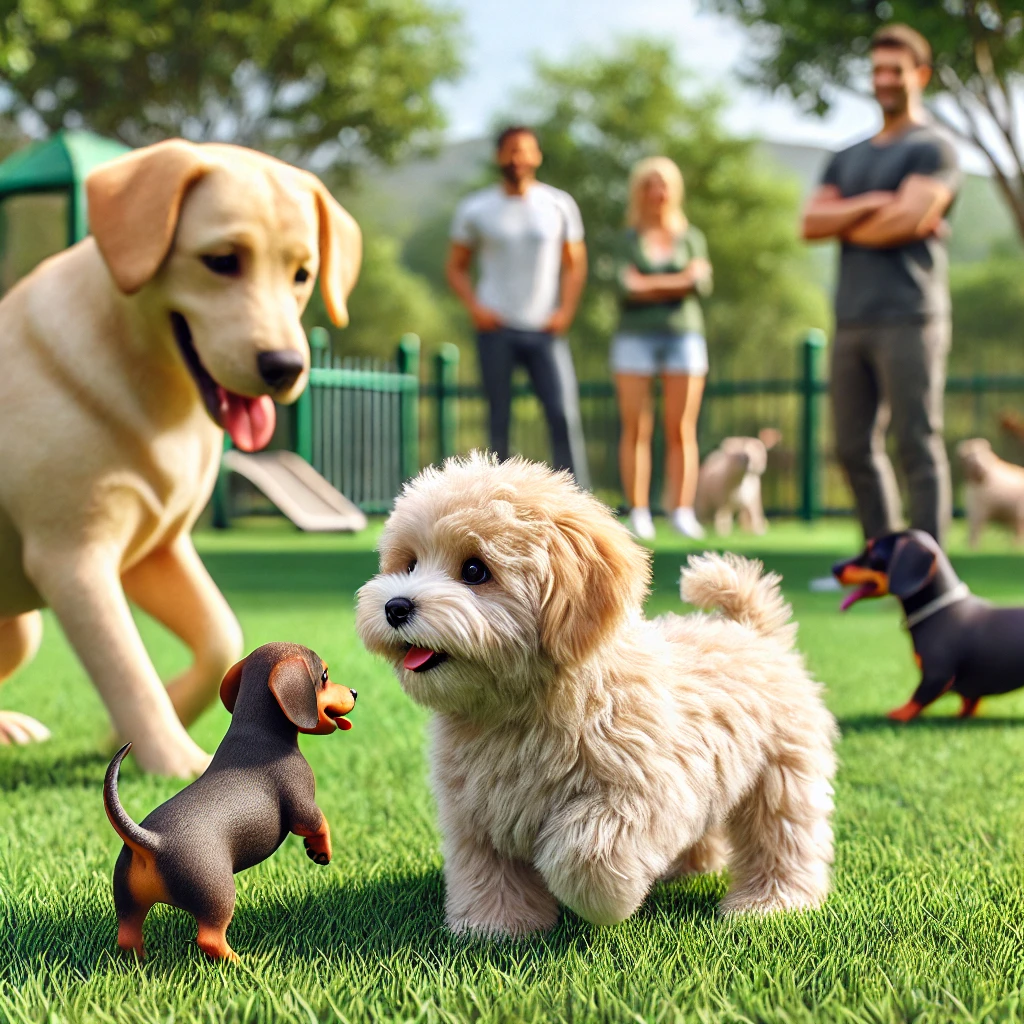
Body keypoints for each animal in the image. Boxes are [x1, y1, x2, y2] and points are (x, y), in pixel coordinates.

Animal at [0, 138, 364, 774]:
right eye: (221, 260)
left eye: (302, 275)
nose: (286, 367)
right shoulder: (74, 560)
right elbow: (126, 666)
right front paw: (176, 761)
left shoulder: (157, 549)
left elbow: (221, 633)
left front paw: (130, 726)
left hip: (21, 631)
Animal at [100, 638, 356, 958]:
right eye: (324, 675)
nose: (355, 692)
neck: (256, 731)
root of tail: (153, 842)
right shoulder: (301, 803)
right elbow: (318, 823)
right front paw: (322, 852)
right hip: (217, 893)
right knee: (209, 938)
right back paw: (239, 960)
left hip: (127, 899)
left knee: (128, 934)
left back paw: (141, 960)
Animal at [356, 456, 835, 937]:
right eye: (409, 564)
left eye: (475, 571)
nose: (395, 606)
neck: (518, 709)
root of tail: (752, 629)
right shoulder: (476, 809)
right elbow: (488, 869)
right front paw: (496, 926)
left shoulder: (643, 790)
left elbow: (586, 849)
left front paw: (605, 901)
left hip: (782, 772)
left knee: (784, 837)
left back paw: (771, 903)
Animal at [831, 532, 1024, 724]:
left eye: (873, 553)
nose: (835, 568)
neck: (938, 611)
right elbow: (969, 702)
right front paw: (962, 715)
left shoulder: (937, 674)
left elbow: (918, 698)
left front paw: (896, 714)